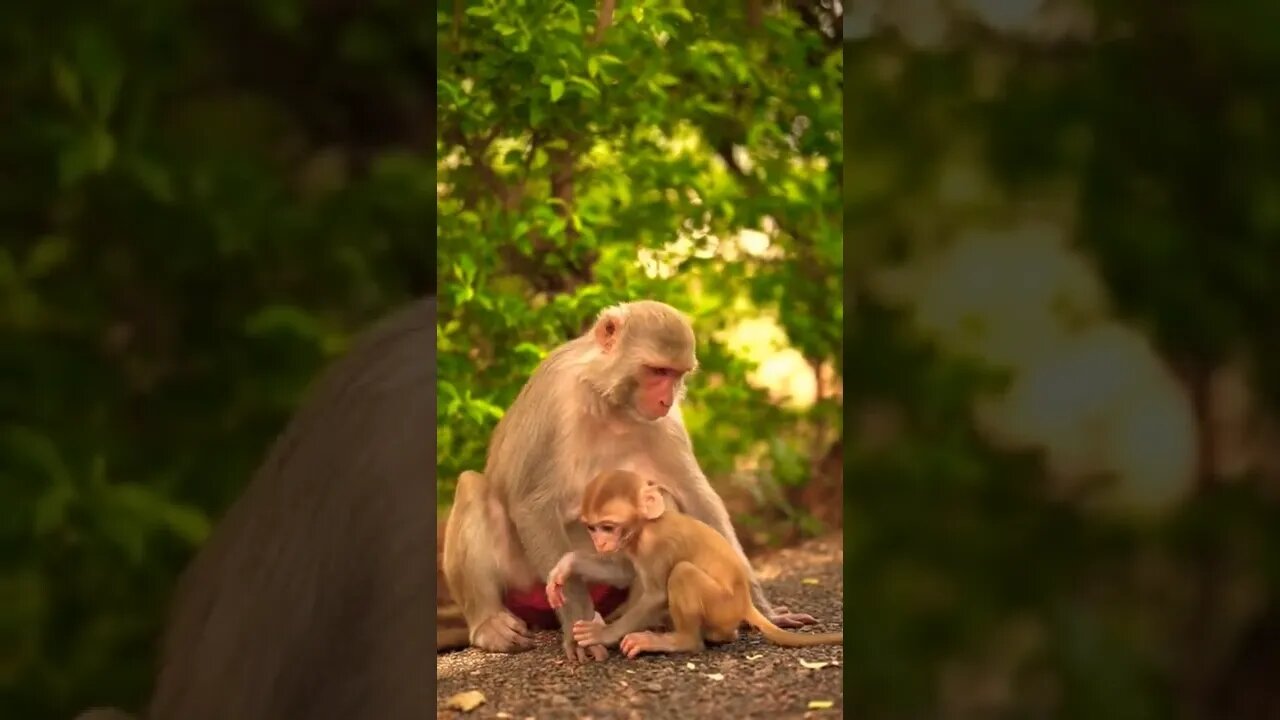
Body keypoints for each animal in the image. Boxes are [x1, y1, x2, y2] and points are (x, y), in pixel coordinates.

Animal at [445, 298, 814, 661]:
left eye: (677, 374)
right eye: (657, 371)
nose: (666, 399)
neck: (607, 401)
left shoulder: (666, 423)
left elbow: (696, 498)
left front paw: (762, 611)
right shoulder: (555, 399)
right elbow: (532, 504)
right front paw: (579, 629)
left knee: (659, 505)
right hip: (524, 578)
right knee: (472, 487)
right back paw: (490, 624)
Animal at [545, 466, 844, 655]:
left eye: (608, 527)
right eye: (592, 528)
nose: (600, 542)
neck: (645, 527)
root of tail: (745, 603)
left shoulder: (656, 545)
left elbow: (656, 595)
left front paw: (602, 635)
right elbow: (623, 571)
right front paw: (566, 565)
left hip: (722, 606)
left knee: (682, 573)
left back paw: (681, 641)